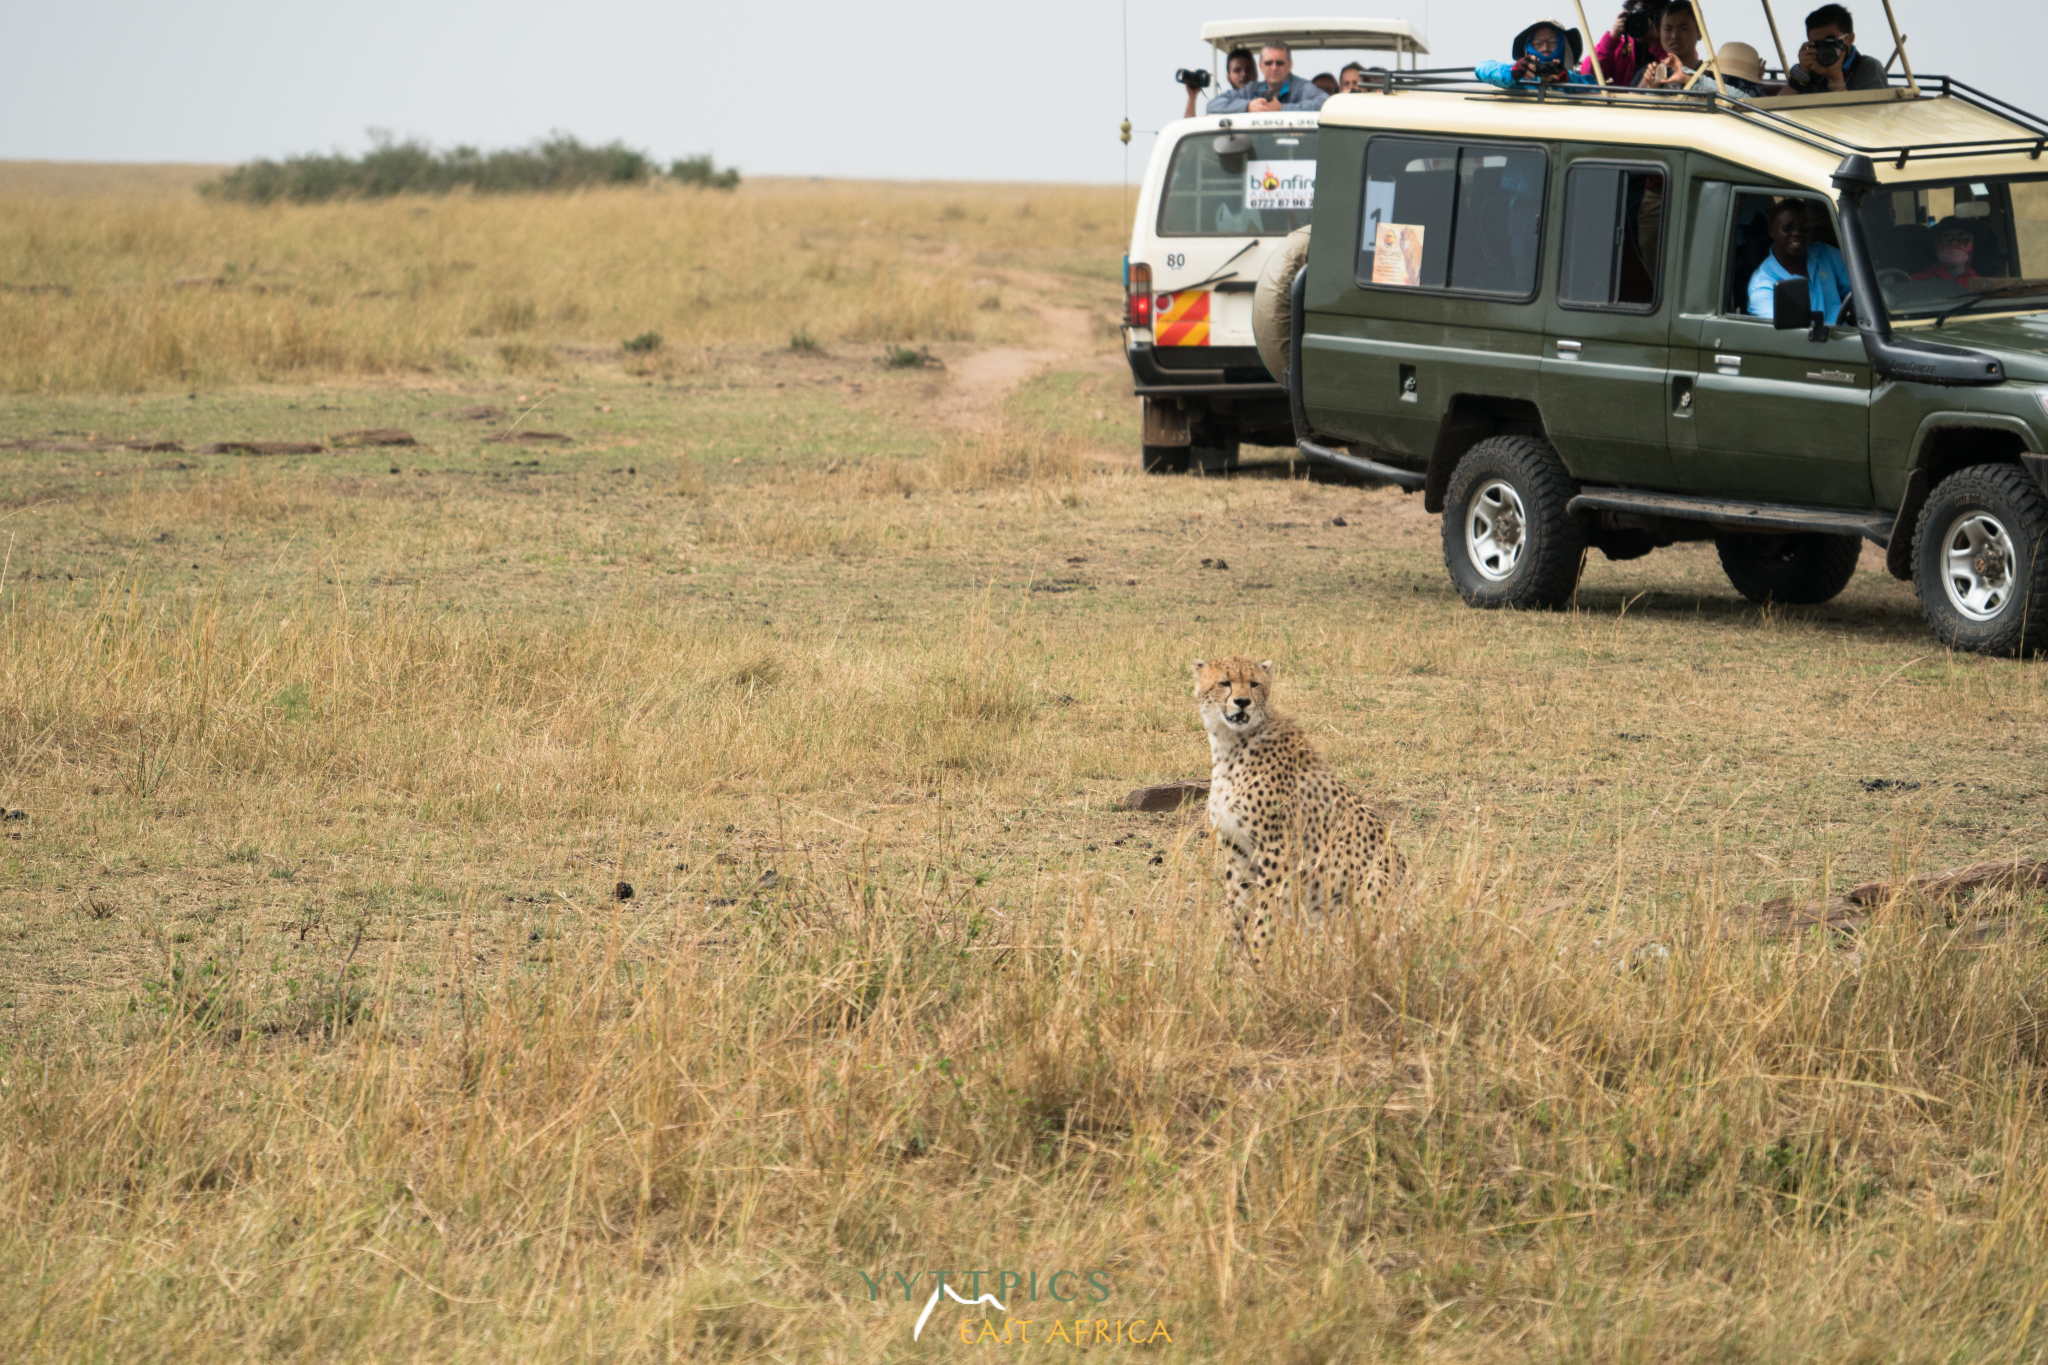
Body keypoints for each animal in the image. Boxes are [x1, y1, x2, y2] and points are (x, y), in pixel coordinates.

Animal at [1196, 654, 1400, 965]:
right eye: (1224, 682)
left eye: (1254, 684)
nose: (1242, 702)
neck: (1231, 743)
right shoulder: (1238, 848)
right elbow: (1237, 909)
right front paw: (1232, 961)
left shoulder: (1275, 848)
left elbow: (1266, 909)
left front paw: (1258, 960)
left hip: (1372, 881)